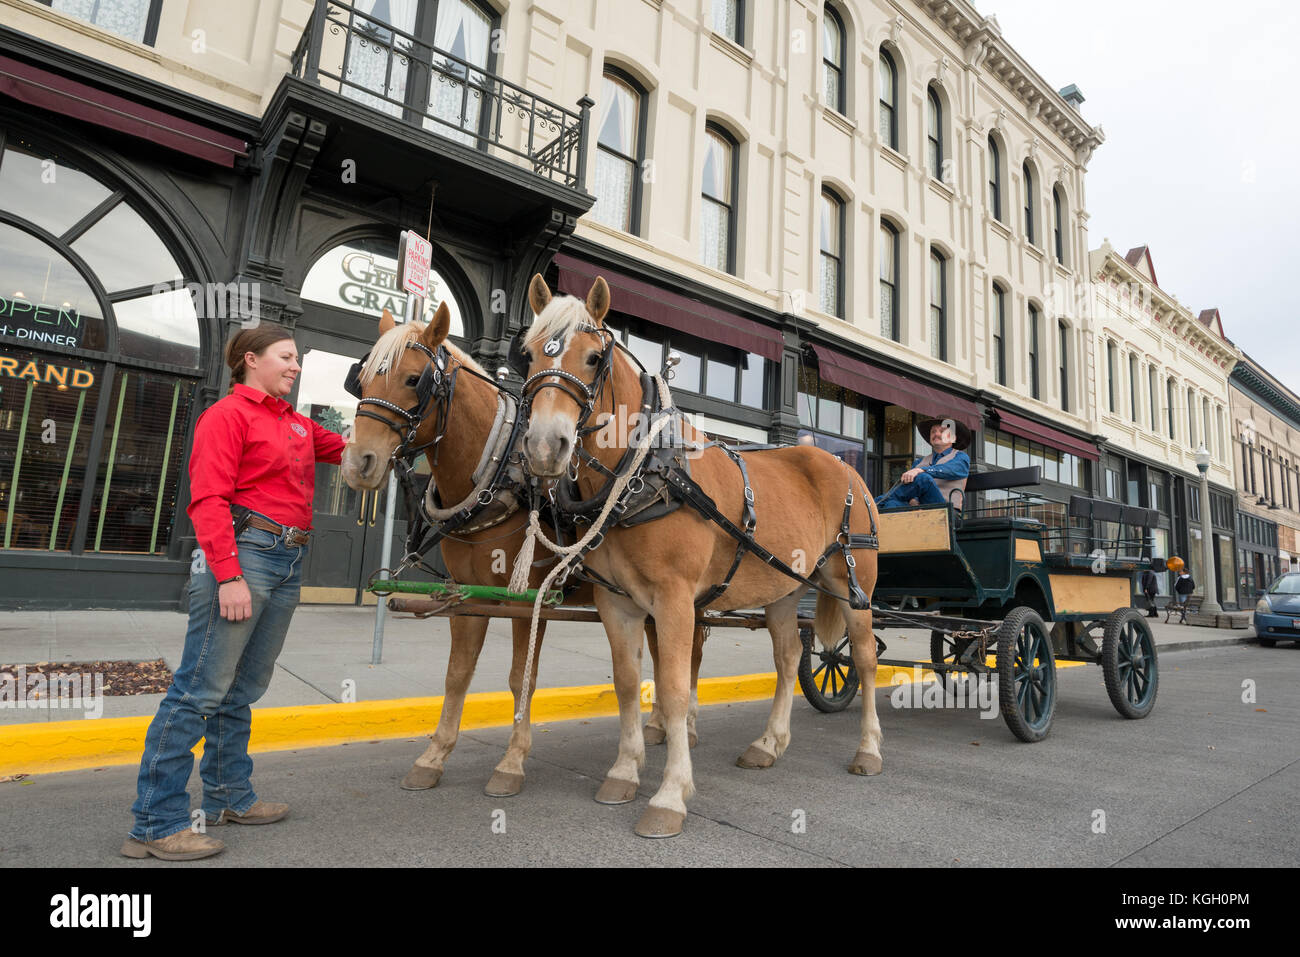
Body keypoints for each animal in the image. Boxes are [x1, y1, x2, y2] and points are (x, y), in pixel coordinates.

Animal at [340, 302, 705, 798]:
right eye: (360, 379)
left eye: (415, 380)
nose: (358, 463)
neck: (495, 475)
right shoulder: (466, 595)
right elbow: (457, 675)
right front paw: (433, 756)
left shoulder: (527, 597)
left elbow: (522, 678)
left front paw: (511, 763)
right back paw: (659, 727)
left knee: (691, 658)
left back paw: (686, 728)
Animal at [515, 274, 883, 838]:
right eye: (529, 353)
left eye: (595, 358)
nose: (542, 446)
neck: (644, 470)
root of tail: (845, 468)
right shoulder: (616, 603)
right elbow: (628, 684)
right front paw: (624, 772)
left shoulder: (674, 601)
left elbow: (672, 688)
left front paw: (670, 794)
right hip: (784, 588)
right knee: (787, 658)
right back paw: (768, 743)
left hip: (852, 583)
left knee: (864, 659)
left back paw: (868, 750)